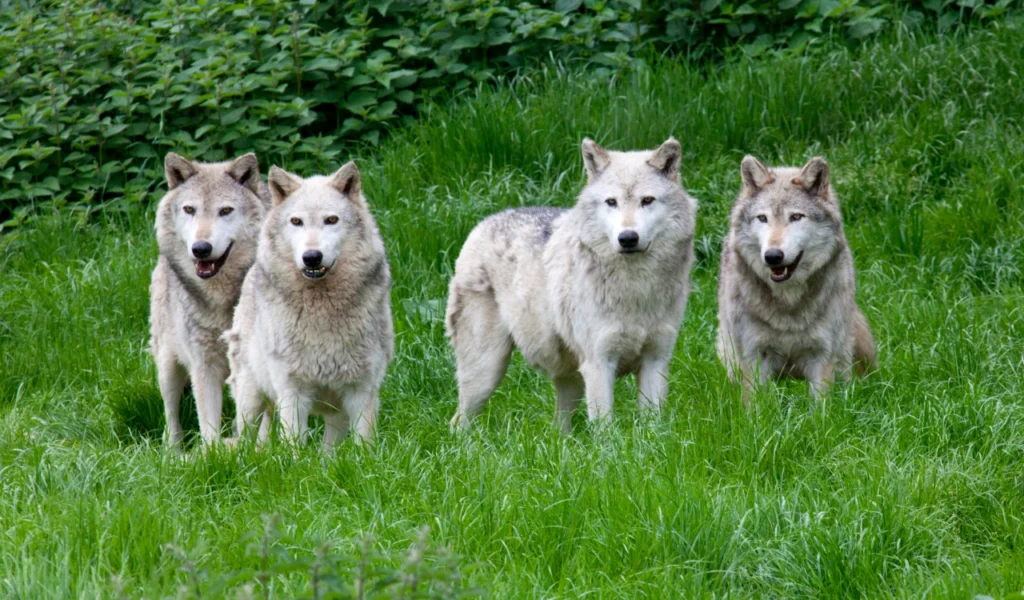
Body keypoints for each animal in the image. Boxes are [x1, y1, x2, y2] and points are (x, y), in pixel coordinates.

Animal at [149, 152, 269, 448]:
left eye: (225, 211)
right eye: (189, 209)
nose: (201, 249)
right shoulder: (203, 366)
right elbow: (208, 426)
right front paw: (213, 456)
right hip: (167, 366)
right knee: (171, 417)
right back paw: (173, 452)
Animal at [225, 161, 393, 448]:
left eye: (331, 220)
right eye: (296, 221)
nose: (312, 257)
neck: (321, 307)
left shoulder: (362, 391)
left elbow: (364, 446)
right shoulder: (292, 392)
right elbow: (294, 446)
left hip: (335, 414)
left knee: (329, 451)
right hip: (251, 399)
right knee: (246, 441)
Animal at [446, 138, 697, 432]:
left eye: (647, 201)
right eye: (611, 202)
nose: (627, 238)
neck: (637, 288)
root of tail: (483, 222)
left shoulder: (655, 362)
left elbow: (653, 428)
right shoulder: (599, 364)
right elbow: (605, 430)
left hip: (570, 379)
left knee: (559, 427)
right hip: (486, 373)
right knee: (458, 422)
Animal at [716, 155, 877, 401]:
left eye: (796, 217)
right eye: (762, 218)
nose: (773, 256)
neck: (788, 304)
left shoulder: (822, 355)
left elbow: (821, 407)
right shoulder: (753, 356)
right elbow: (756, 406)